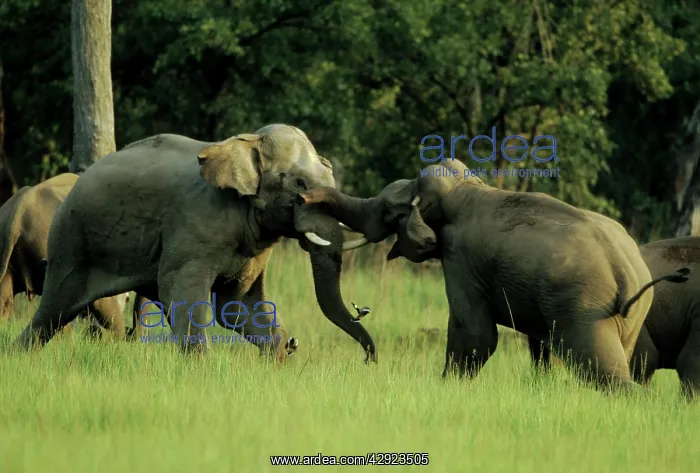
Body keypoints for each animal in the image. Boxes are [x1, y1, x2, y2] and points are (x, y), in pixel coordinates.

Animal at [297, 160, 690, 390]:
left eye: (389, 213)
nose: (302, 195)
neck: (466, 189)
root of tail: (625, 269)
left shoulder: (460, 258)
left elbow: (475, 333)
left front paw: (447, 387)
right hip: (631, 316)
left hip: (584, 308)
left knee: (600, 370)